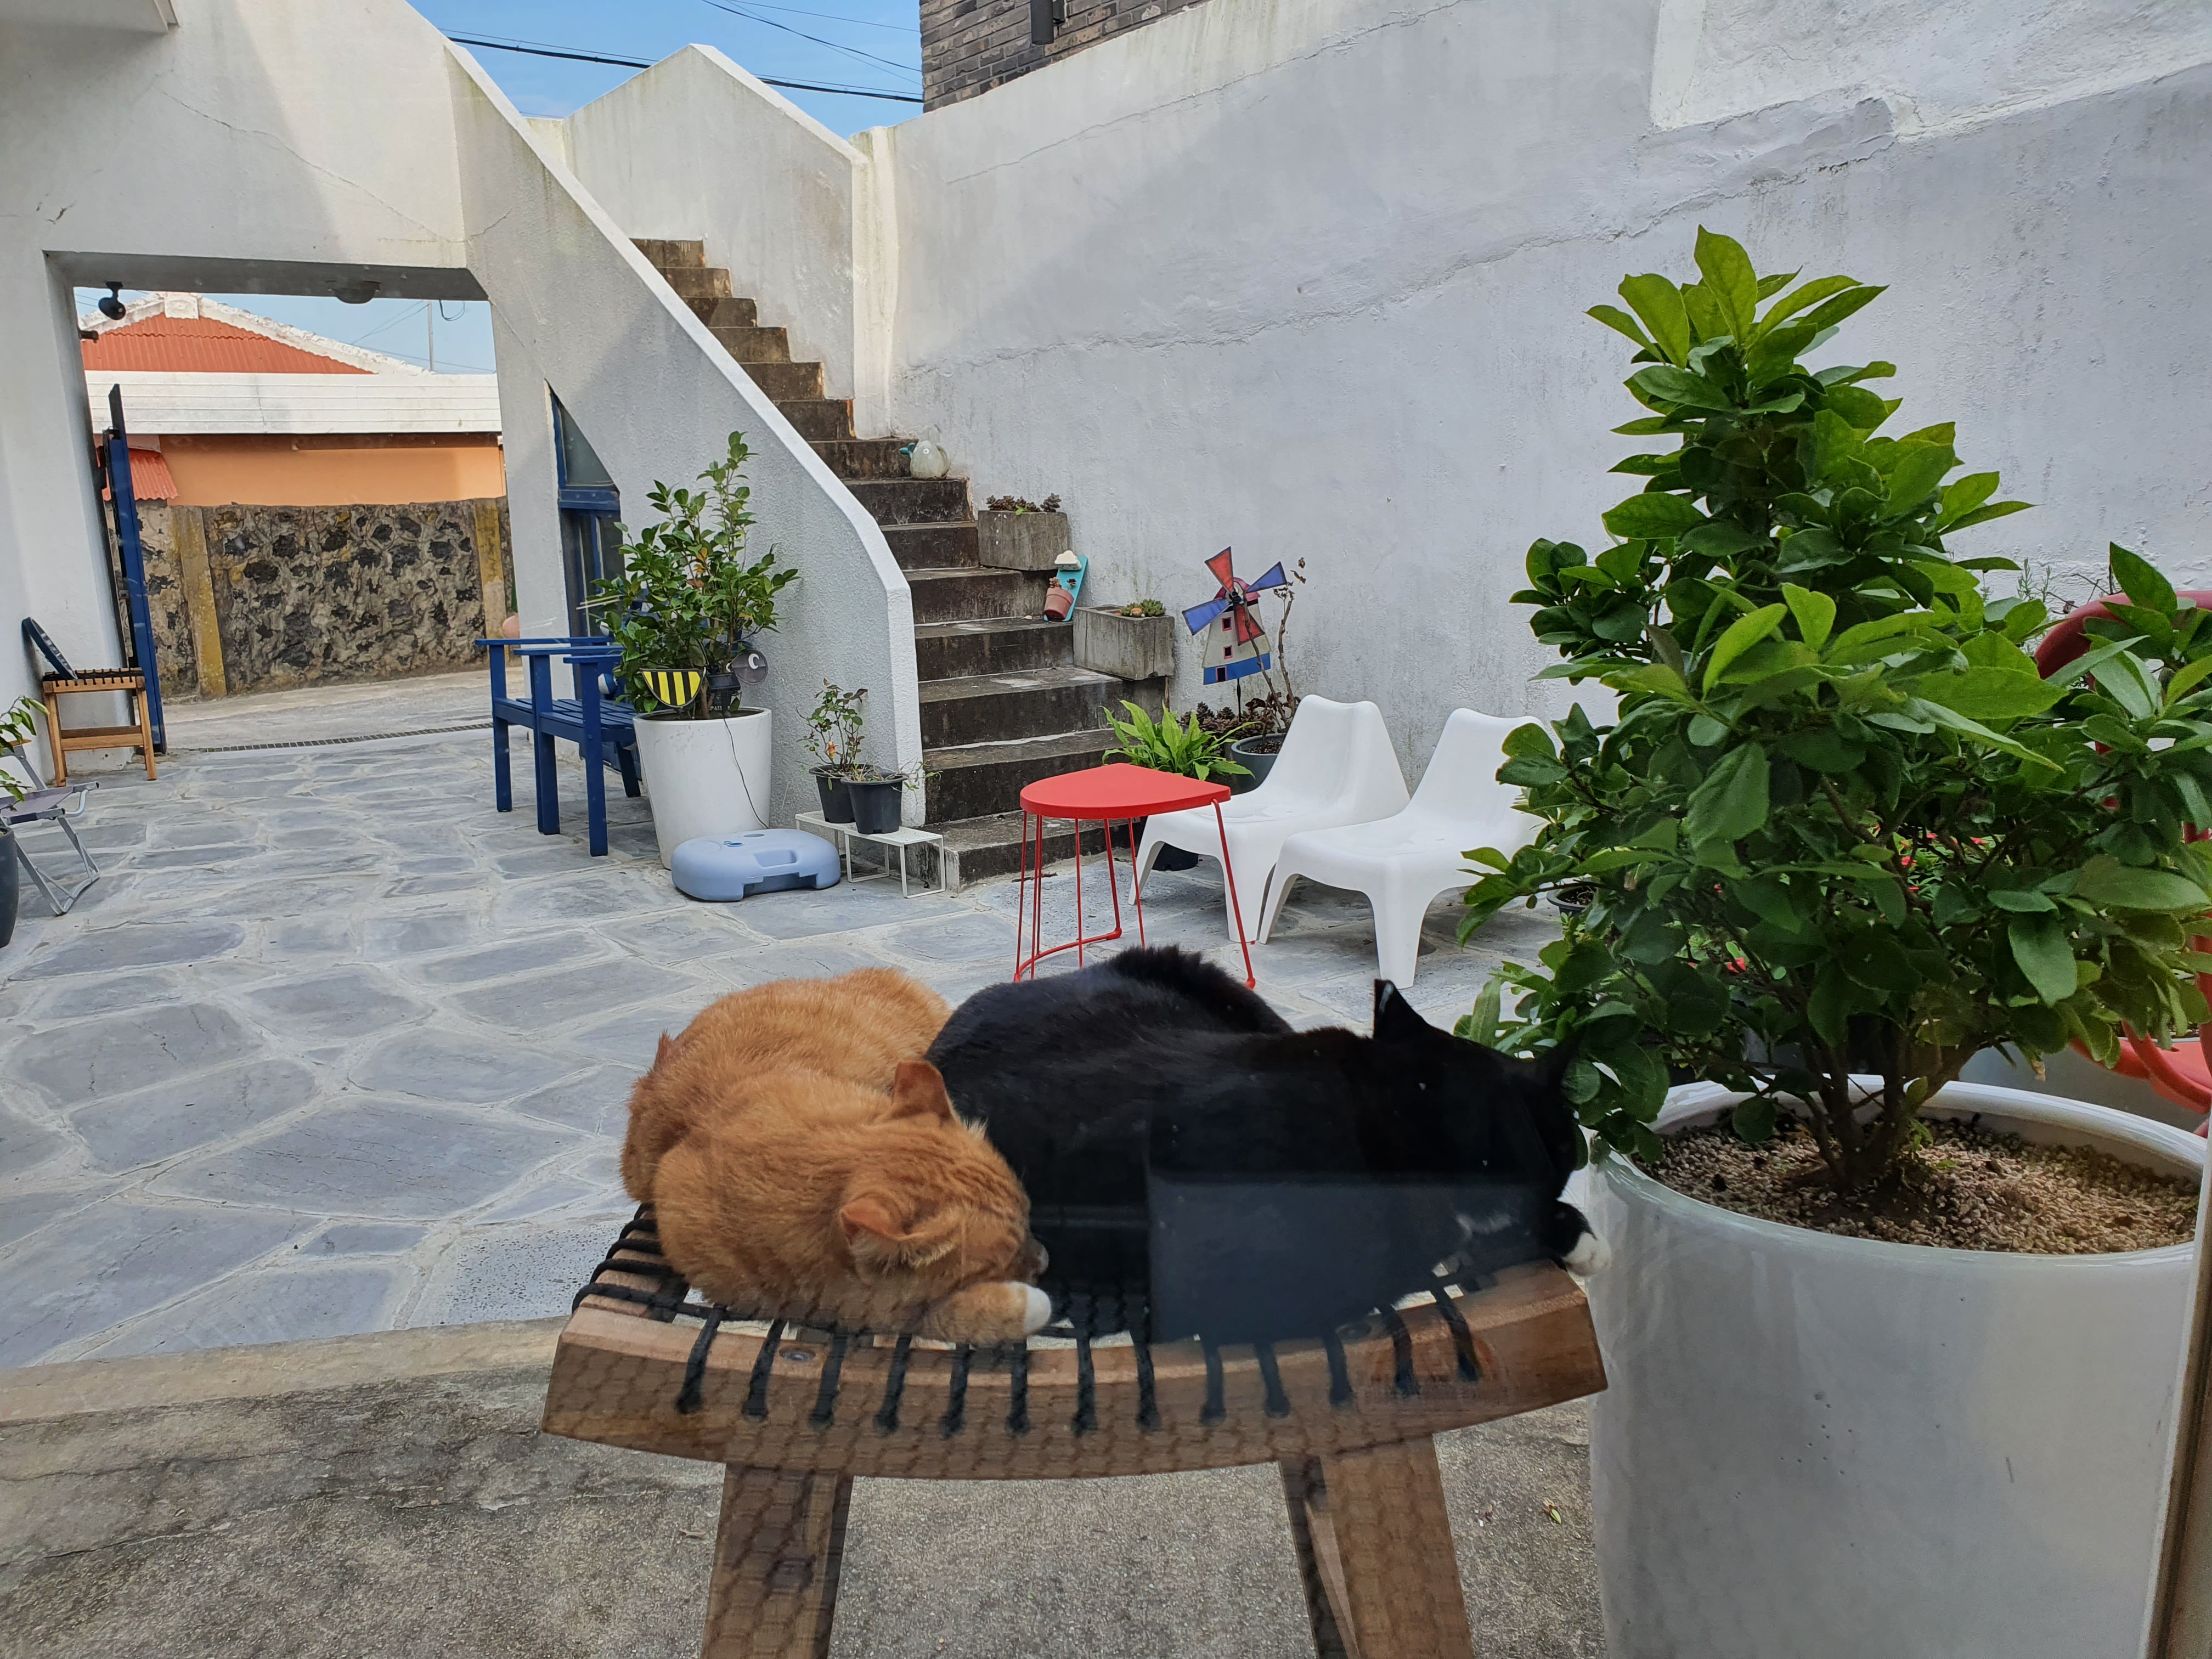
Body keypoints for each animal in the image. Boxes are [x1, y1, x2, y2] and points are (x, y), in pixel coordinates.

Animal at [624, 970, 1050, 1343]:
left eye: (1030, 1215)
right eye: (1001, 1263)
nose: (1045, 1260)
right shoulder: (854, 1306)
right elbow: (945, 1316)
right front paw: (1029, 1303)